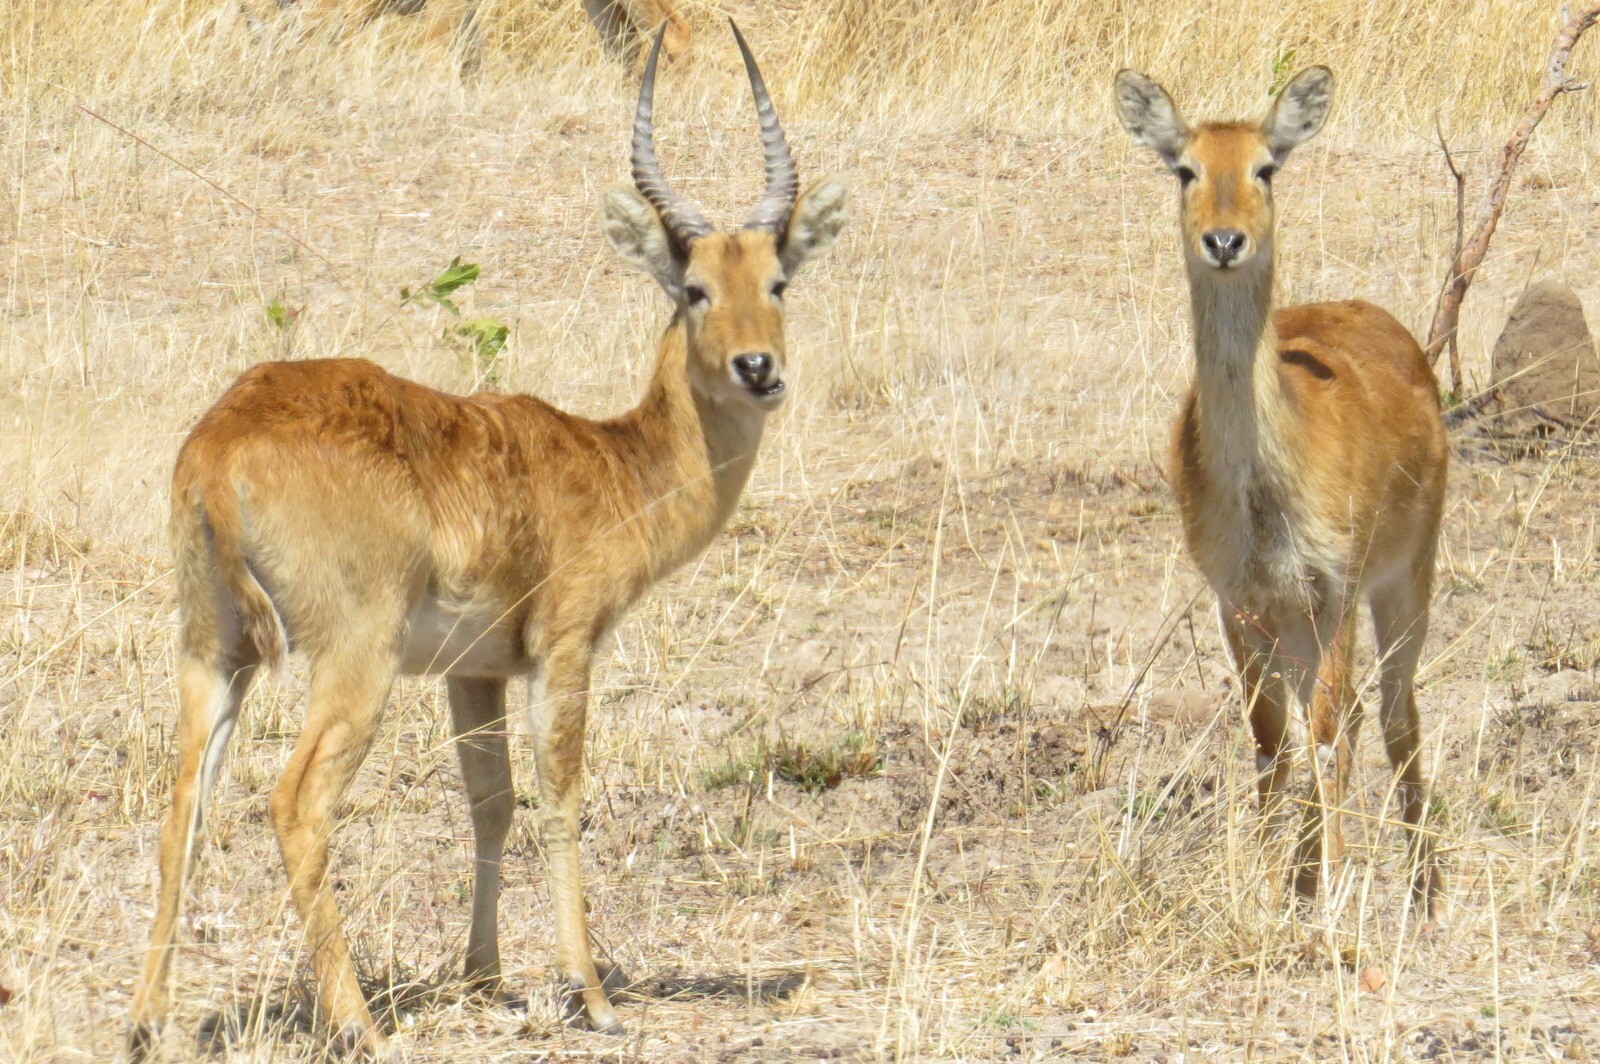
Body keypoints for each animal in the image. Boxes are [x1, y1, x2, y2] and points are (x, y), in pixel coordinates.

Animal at [128, 24, 851, 1056]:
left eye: (779, 280)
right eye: (696, 288)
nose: (760, 369)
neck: (611, 461)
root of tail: (224, 439)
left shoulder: (473, 672)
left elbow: (491, 801)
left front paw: (485, 977)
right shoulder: (564, 648)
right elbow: (560, 797)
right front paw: (590, 994)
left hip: (213, 649)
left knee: (183, 803)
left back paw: (148, 1022)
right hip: (352, 660)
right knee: (295, 802)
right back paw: (359, 1024)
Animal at [1113, 66, 1452, 915]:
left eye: (1267, 166)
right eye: (1185, 168)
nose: (1225, 241)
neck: (1266, 487)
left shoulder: (1334, 587)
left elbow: (1332, 729)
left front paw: (1333, 888)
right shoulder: (1238, 598)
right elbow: (1270, 738)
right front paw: (1270, 885)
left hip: (1405, 581)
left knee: (1392, 711)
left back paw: (1421, 888)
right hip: (1294, 622)